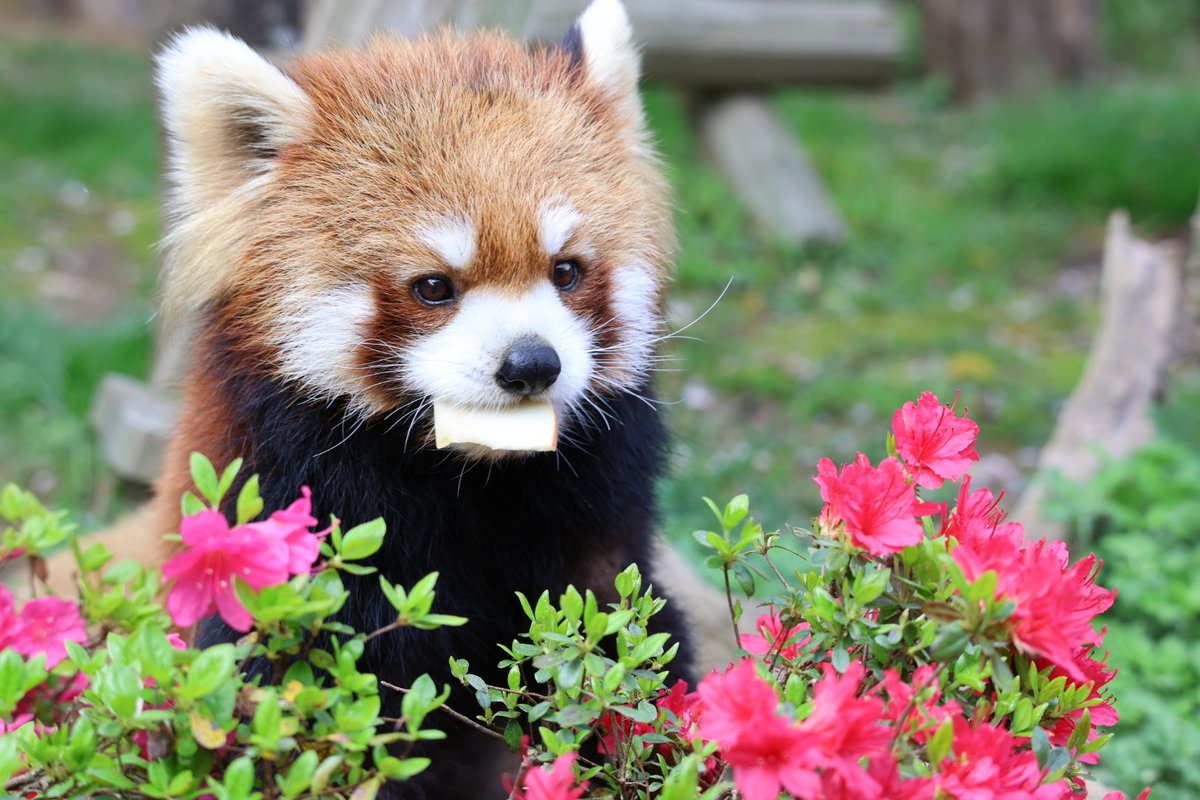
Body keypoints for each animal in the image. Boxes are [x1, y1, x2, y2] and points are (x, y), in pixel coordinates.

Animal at [120, 1, 696, 796]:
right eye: (433, 287)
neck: (468, 481)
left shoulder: (598, 533)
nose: (531, 364)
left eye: (566, 271)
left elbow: (628, 646)